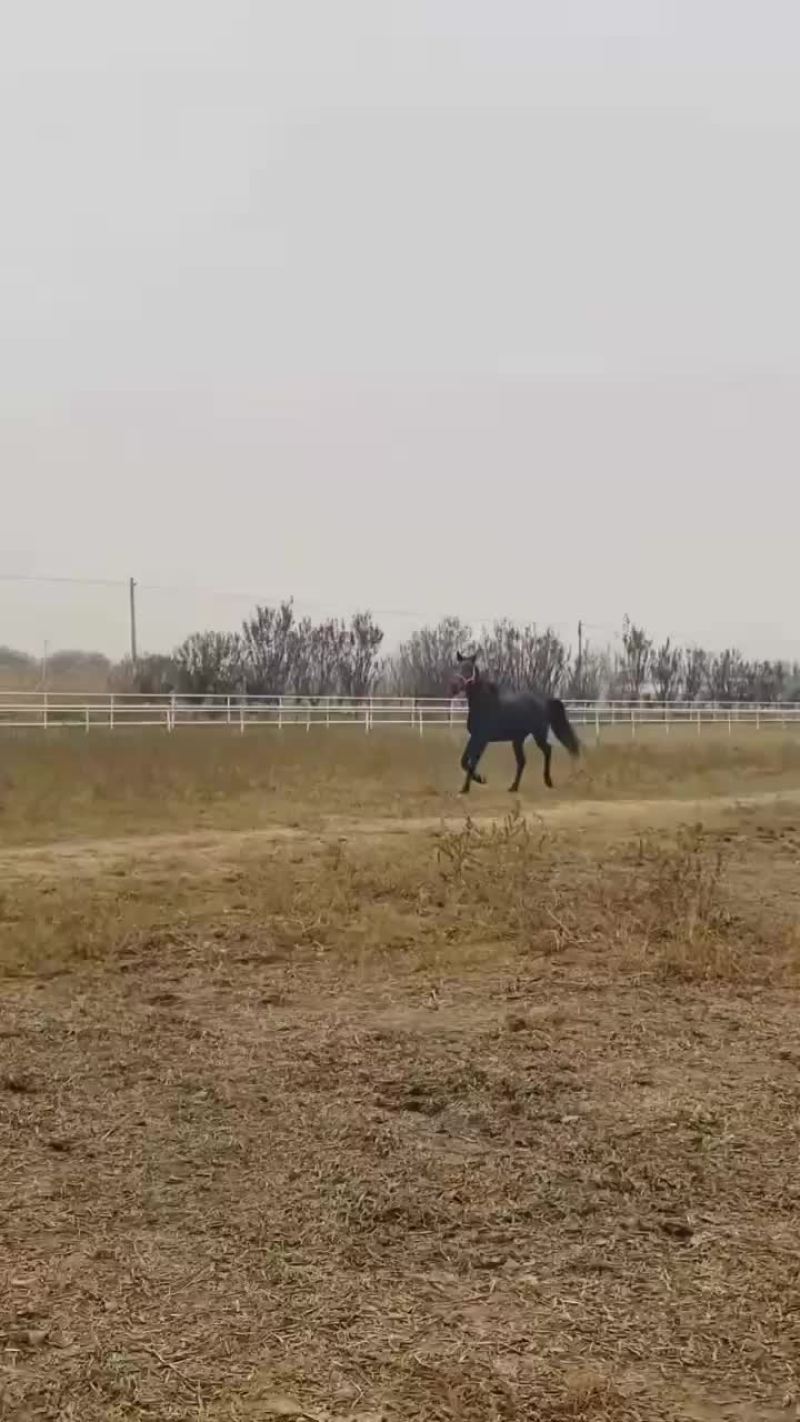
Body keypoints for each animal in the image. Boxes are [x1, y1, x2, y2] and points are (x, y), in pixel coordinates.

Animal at [450, 651, 580, 795]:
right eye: (457, 667)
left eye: (469, 669)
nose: (454, 687)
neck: (483, 703)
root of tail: (545, 701)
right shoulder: (474, 737)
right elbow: (463, 761)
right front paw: (473, 783)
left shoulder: (482, 738)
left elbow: (472, 762)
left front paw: (476, 782)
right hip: (518, 740)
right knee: (522, 761)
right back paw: (513, 787)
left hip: (538, 735)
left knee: (547, 750)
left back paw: (548, 781)